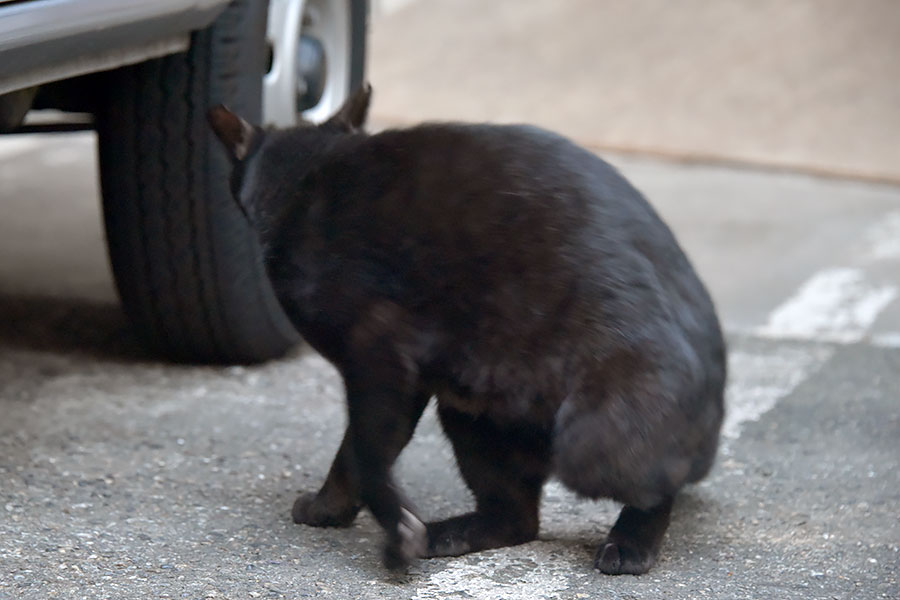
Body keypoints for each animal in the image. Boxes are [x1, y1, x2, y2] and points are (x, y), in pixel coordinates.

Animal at [209, 85, 724, 576]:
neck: (307, 177)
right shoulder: (409, 378)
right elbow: (354, 451)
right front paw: (337, 511)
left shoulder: (375, 350)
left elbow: (367, 453)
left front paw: (387, 532)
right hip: (467, 407)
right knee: (516, 520)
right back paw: (446, 535)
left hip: (588, 439)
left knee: (655, 485)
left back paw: (629, 545)